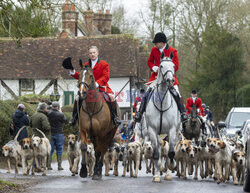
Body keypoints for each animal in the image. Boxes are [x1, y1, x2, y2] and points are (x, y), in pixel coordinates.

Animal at [145, 52, 182, 182]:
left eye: (173, 65)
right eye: (161, 66)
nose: (170, 80)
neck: (161, 102)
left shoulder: (171, 129)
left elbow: (170, 153)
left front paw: (172, 167)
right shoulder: (152, 130)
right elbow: (156, 154)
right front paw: (157, 174)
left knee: (168, 151)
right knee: (160, 150)